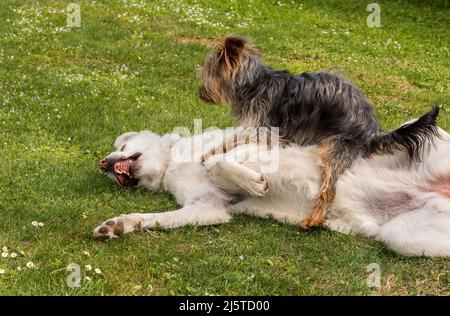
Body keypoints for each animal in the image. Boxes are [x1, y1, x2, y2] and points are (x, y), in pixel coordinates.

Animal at [94, 123, 450, 256]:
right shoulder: (207, 207)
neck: (171, 165)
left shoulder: (259, 141)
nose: (103, 164)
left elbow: (218, 161)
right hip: (401, 237)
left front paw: (253, 182)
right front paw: (119, 225)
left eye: (122, 145)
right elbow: (152, 218)